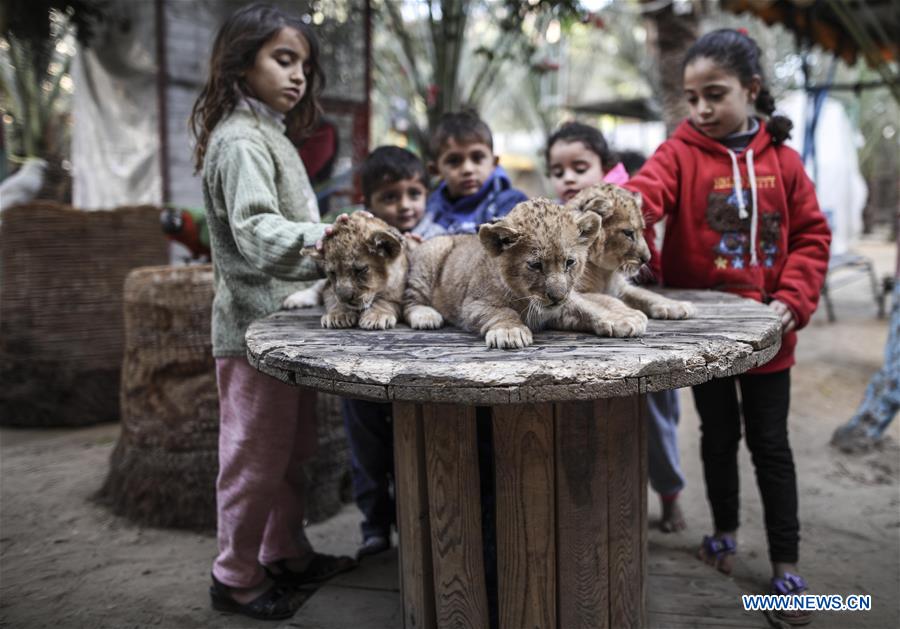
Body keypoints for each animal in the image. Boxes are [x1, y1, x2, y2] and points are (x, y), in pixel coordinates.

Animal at [403, 198, 634, 349]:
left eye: (569, 262)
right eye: (535, 265)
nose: (557, 297)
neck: (525, 297)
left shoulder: (559, 309)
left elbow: (587, 307)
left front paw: (619, 320)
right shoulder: (473, 304)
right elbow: (501, 312)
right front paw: (509, 331)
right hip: (431, 258)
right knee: (410, 301)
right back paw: (426, 316)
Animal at [566, 183, 696, 321]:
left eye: (642, 229)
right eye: (628, 233)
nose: (647, 259)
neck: (605, 273)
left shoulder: (621, 287)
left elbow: (645, 294)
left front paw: (678, 305)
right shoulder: (573, 291)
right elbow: (607, 299)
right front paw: (630, 316)